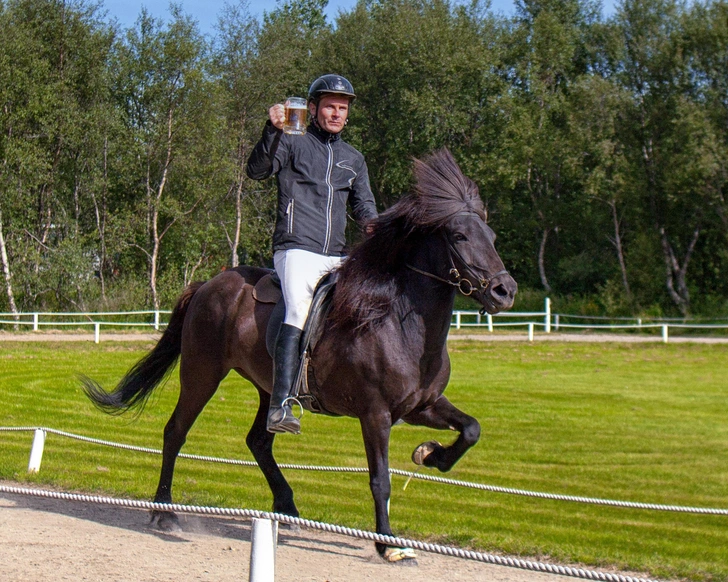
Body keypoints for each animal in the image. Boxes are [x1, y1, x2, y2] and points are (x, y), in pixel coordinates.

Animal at [82, 148, 516, 564]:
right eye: (458, 236)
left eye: (492, 235)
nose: (505, 291)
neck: (398, 322)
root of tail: (208, 283)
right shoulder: (375, 414)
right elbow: (380, 480)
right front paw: (388, 544)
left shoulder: (420, 406)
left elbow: (471, 428)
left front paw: (430, 455)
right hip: (201, 374)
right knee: (175, 432)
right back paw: (164, 512)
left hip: (270, 389)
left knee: (258, 441)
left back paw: (287, 508)